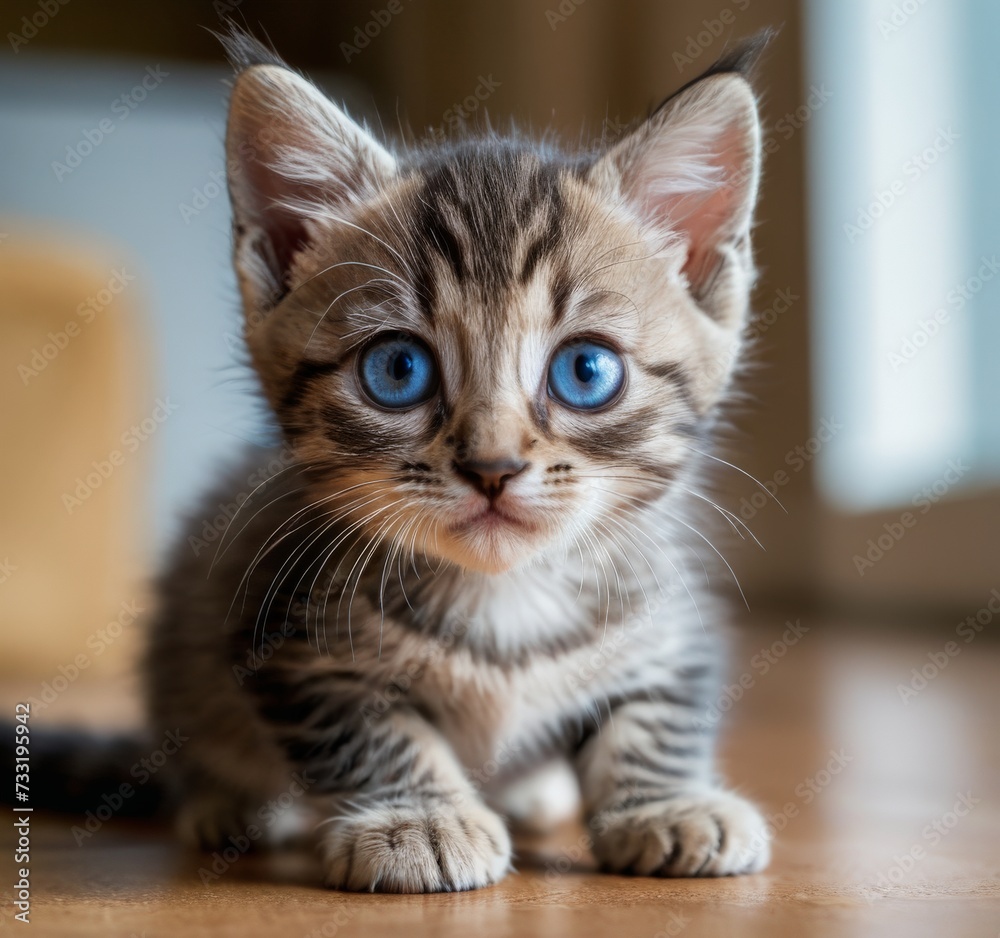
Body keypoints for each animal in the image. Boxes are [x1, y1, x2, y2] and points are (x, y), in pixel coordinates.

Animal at [146, 31, 772, 892]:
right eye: (397, 369)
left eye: (586, 371)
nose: (493, 466)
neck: (504, 599)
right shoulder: (288, 642)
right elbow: (370, 730)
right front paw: (419, 818)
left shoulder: (669, 620)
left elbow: (656, 711)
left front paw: (667, 803)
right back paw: (225, 804)